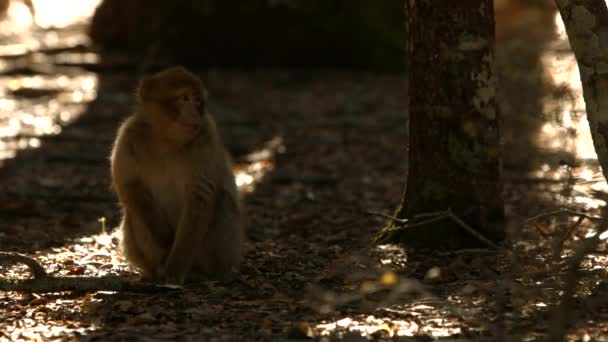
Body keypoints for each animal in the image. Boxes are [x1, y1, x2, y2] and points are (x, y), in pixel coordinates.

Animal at [110, 65, 243, 284]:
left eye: (197, 100)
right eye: (184, 98)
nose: (194, 113)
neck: (166, 140)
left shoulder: (206, 137)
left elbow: (200, 197)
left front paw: (175, 270)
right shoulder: (128, 136)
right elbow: (129, 185)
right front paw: (164, 236)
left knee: (223, 203)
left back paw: (205, 273)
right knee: (134, 214)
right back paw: (155, 269)